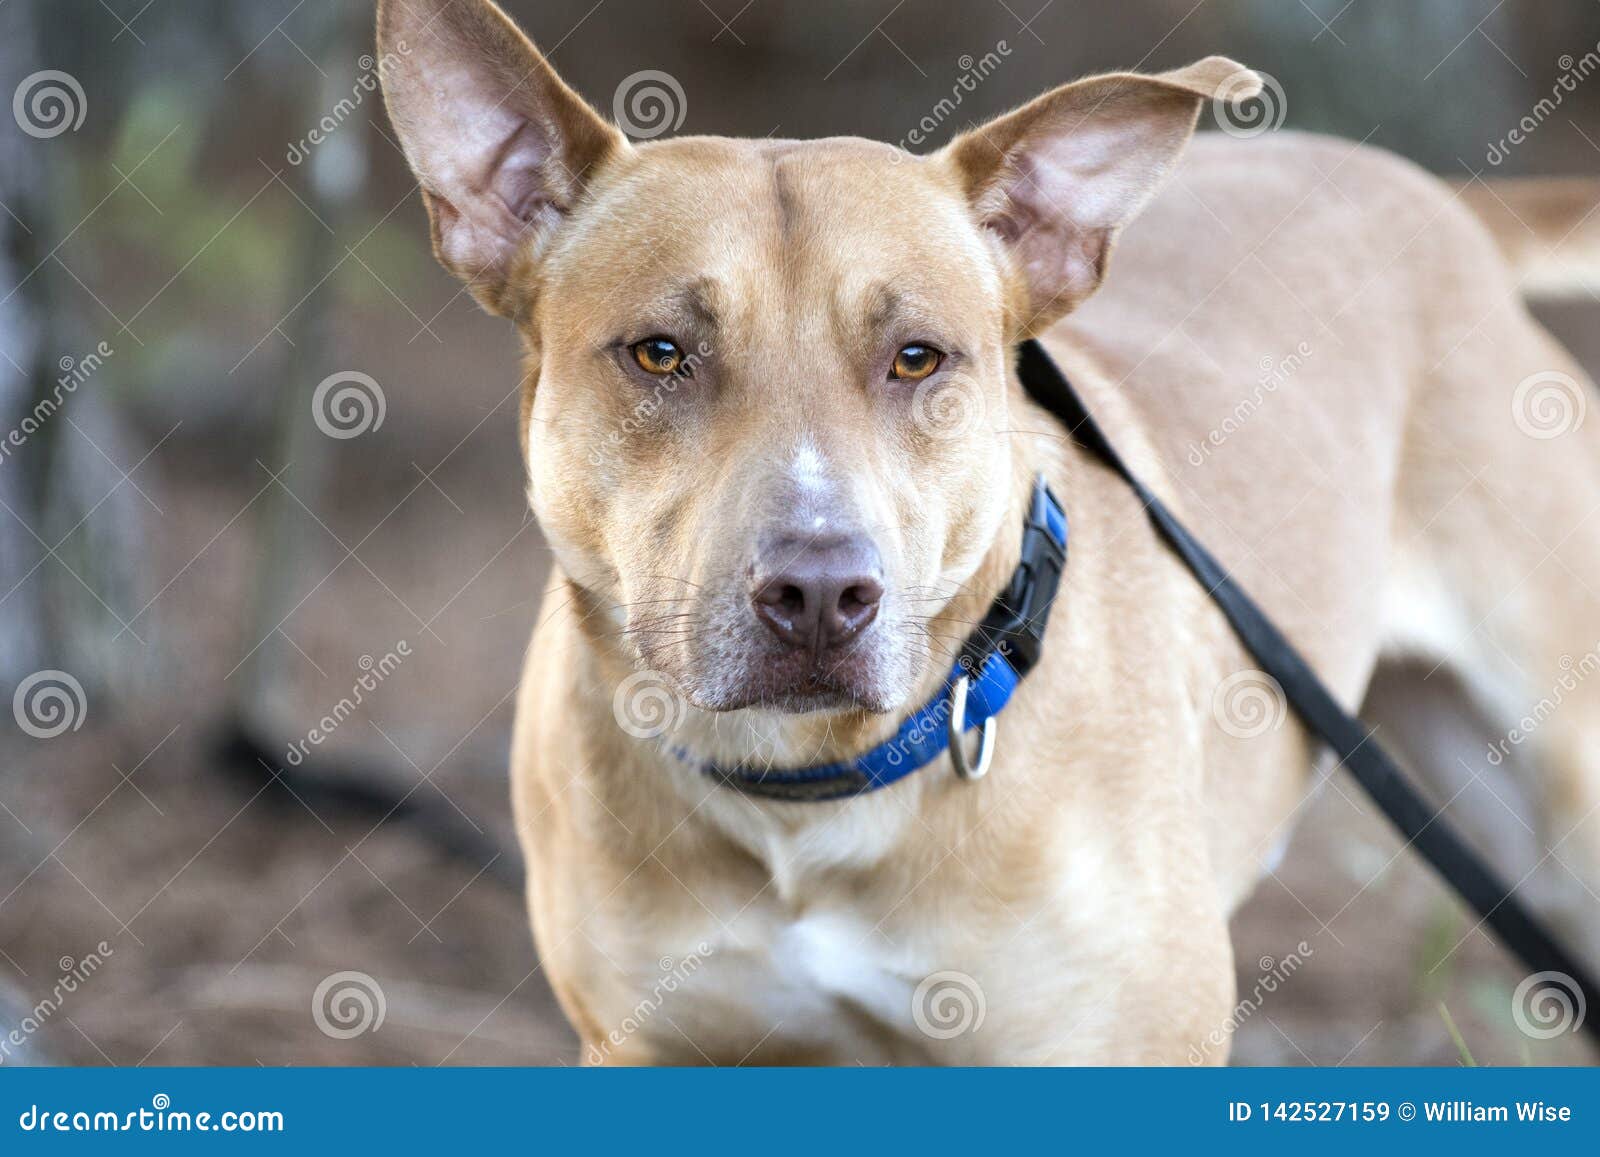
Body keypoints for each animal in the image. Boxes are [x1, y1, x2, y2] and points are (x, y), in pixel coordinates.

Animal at [380, 0, 1600, 1068]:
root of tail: (1431, 197)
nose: (819, 596)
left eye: (918, 357)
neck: (810, 795)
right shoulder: (649, 1045)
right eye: (660, 353)